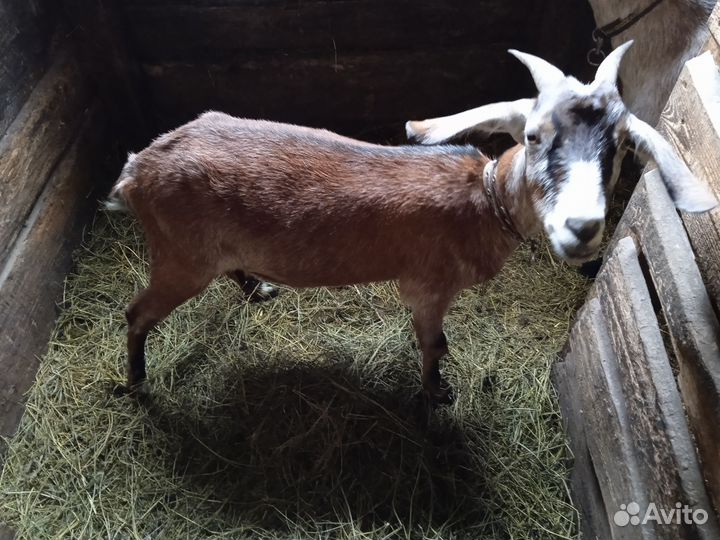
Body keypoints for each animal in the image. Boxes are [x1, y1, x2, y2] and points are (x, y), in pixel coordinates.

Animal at [109, 44, 716, 404]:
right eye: (533, 135)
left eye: (621, 148)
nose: (583, 227)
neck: (483, 200)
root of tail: (138, 167)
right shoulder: (427, 286)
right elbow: (433, 345)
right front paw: (435, 395)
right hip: (179, 257)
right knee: (136, 313)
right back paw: (137, 381)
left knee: (228, 270)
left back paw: (258, 289)